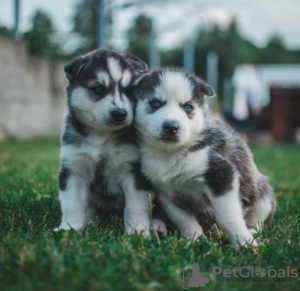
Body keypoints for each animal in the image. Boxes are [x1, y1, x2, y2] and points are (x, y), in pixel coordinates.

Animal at [54, 48, 152, 235]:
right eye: (99, 88)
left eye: (129, 90)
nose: (120, 113)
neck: (101, 135)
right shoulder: (73, 167)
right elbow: (72, 204)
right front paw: (70, 228)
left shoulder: (132, 169)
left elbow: (136, 206)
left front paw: (137, 231)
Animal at [135, 68, 276, 246]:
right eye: (155, 103)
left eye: (188, 107)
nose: (171, 127)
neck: (171, 154)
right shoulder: (166, 191)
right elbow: (182, 218)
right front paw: (192, 238)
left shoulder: (222, 174)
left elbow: (227, 217)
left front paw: (244, 242)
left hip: (263, 195)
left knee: (260, 219)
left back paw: (252, 231)